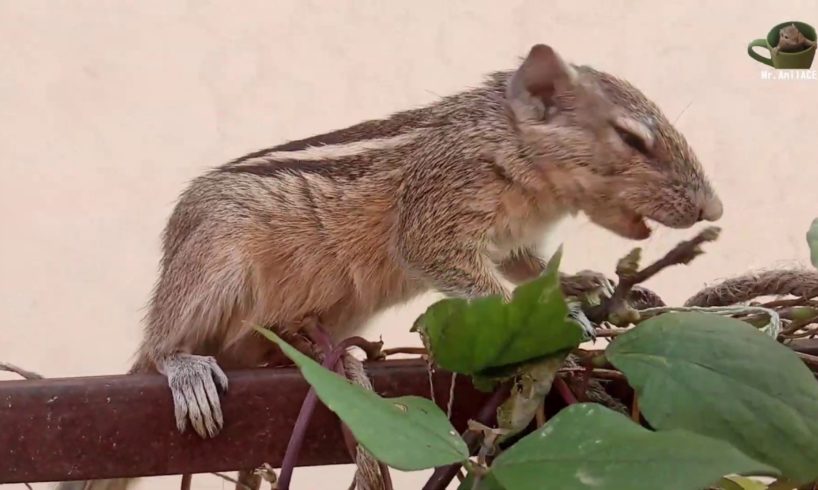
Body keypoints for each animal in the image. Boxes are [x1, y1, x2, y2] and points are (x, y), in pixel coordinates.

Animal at [56, 43, 722, 490]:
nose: (712, 208)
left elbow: (524, 266)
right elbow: (472, 273)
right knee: (161, 342)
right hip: (211, 264)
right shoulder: (437, 211)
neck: (509, 145)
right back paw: (184, 366)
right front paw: (554, 320)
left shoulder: (512, 237)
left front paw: (580, 284)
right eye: (632, 139)